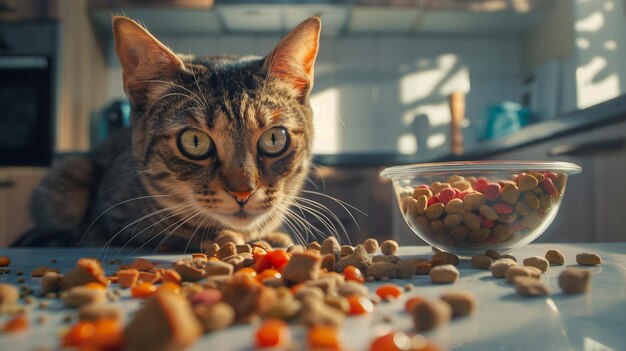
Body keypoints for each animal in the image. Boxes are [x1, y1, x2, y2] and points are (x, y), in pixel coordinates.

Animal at [17, 16, 322, 253]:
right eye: (194, 141)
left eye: (274, 139)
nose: (243, 192)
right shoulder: (107, 222)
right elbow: (165, 233)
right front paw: (222, 236)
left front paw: (272, 237)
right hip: (69, 176)